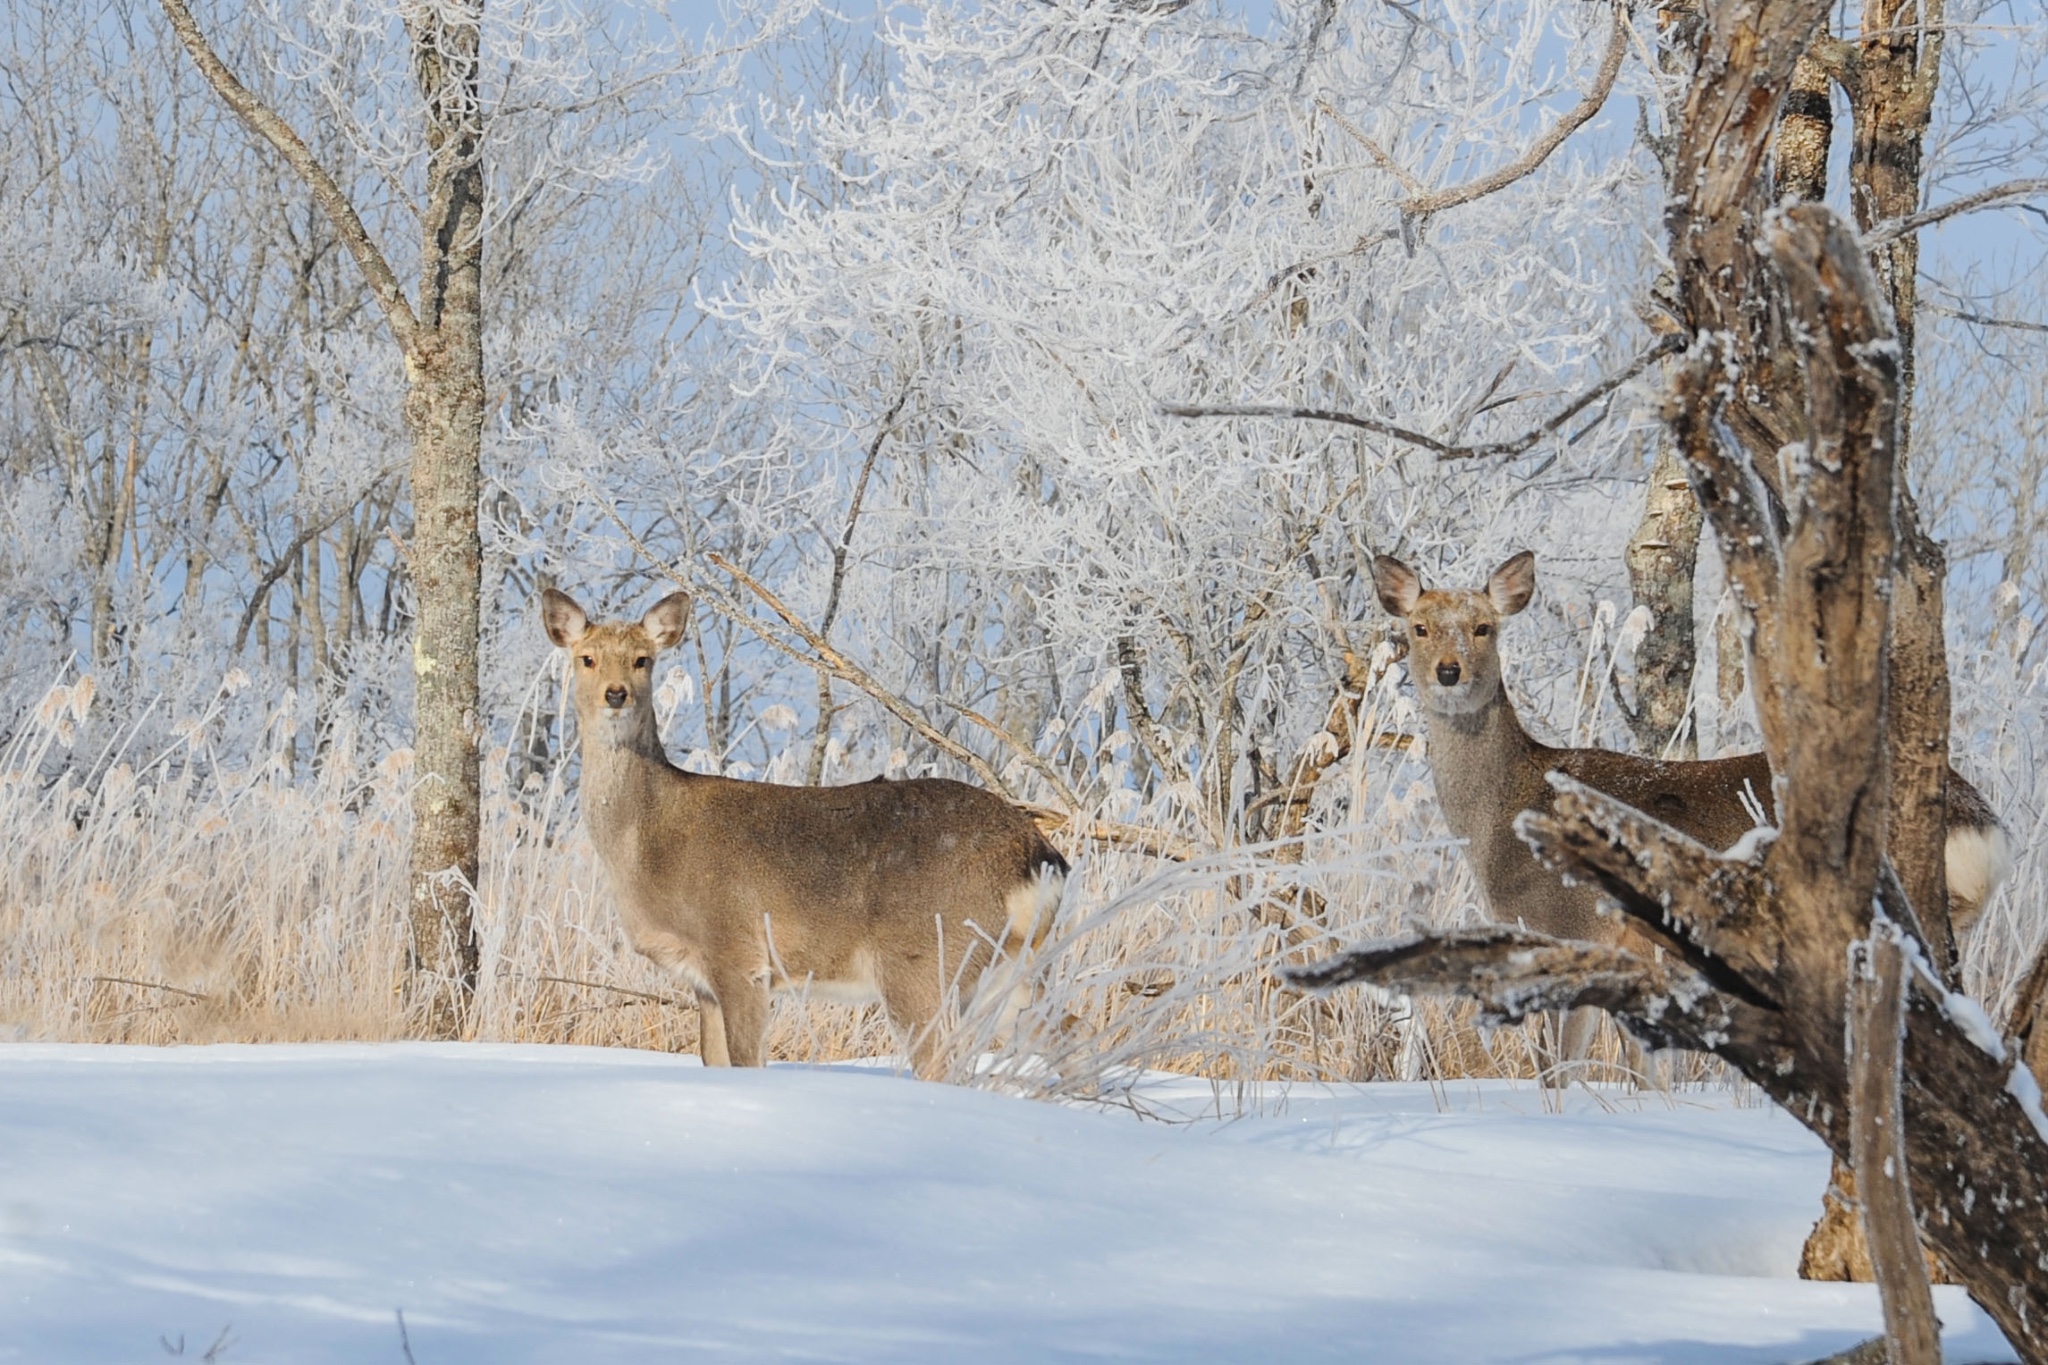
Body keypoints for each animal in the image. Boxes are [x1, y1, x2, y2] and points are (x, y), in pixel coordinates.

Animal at [540, 589, 1073, 1080]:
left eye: (642, 659)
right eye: (587, 658)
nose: (616, 693)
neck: (645, 842)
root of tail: (1039, 854)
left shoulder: (739, 952)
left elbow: (747, 1062)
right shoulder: (702, 980)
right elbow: (713, 1061)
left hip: (927, 959)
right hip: (1016, 967)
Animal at [1368, 548, 2007, 1072]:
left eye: (1484, 628)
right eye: (1420, 628)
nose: (1449, 671)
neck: (1503, 817)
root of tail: (1981, 819)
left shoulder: (1576, 929)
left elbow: (1560, 1067)